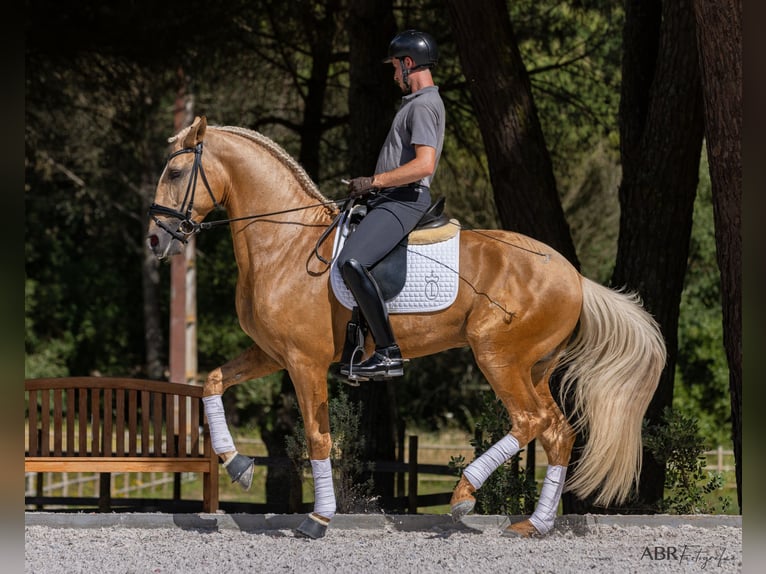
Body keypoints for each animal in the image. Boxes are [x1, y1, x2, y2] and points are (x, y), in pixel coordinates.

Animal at [148, 116, 664, 540]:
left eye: (175, 174)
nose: (155, 239)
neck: (286, 244)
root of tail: (574, 276)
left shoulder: (304, 361)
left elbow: (318, 436)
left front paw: (318, 517)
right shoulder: (274, 354)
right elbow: (212, 382)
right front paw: (237, 465)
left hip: (497, 355)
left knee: (530, 421)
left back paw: (464, 495)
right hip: (535, 366)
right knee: (558, 433)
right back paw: (533, 524)